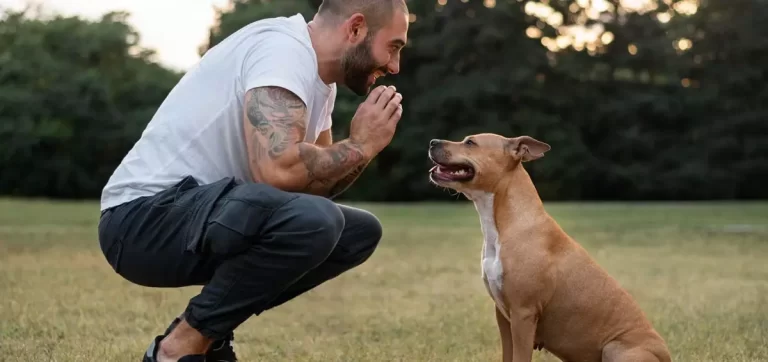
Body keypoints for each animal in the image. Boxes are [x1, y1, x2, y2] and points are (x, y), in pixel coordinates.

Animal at [426, 134, 672, 362]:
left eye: (470, 143)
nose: (432, 142)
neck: (504, 222)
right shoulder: (503, 316)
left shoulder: (523, 314)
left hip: (616, 348)